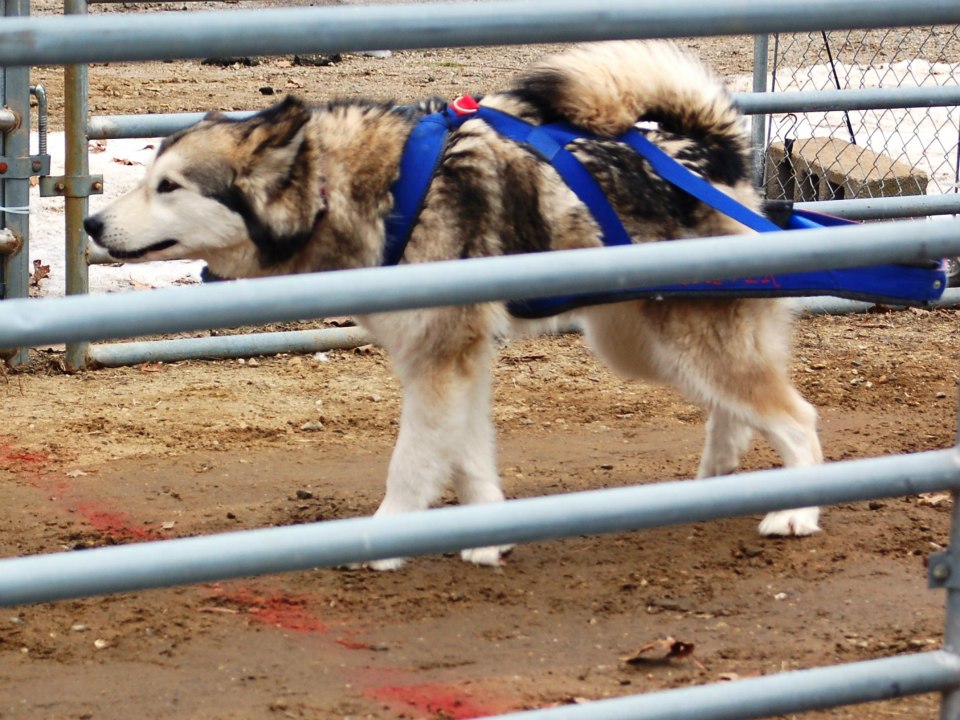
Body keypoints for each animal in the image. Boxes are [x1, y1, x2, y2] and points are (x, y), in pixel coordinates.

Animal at [82, 40, 820, 568]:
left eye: (169, 185)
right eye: (147, 178)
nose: (89, 224)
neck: (358, 191)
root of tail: (709, 154)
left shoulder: (439, 358)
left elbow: (412, 461)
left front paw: (382, 541)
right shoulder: (447, 362)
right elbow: (464, 454)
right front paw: (487, 535)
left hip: (684, 338)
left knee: (796, 419)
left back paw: (797, 512)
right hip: (640, 342)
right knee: (735, 412)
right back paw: (715, 485)